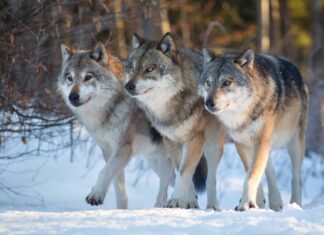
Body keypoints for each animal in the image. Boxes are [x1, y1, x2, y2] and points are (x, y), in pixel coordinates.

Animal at [58, 42, 176, 207]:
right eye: (70, 78)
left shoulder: (124, 148)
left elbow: (104, 171)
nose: (72, 96)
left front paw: (95, 194)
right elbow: (118, 189)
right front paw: (120, 209)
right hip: (155, 160)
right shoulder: (109, 150)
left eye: (88, 77)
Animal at [124, 32, 225, 209]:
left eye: (150, 68)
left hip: (213, 145)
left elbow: (185, 172)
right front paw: (188, 201)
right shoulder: (171, 141)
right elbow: (182, 172)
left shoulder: (195, 139)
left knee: (212, 178)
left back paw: (213, 207)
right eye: (132, 68)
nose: (128, 86)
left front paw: (177, 199)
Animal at [200, 48, 308, 211]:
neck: (243, 114)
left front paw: (246, 203)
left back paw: (295, 205)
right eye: (208, 82)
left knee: (296, 177)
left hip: (294, 145)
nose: (208, 103)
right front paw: (255, 203)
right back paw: (275, 202)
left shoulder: (260, 141)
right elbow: (252, 174)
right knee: (270, 169)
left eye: (226, 83)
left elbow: (251, 176)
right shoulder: (242, 144)